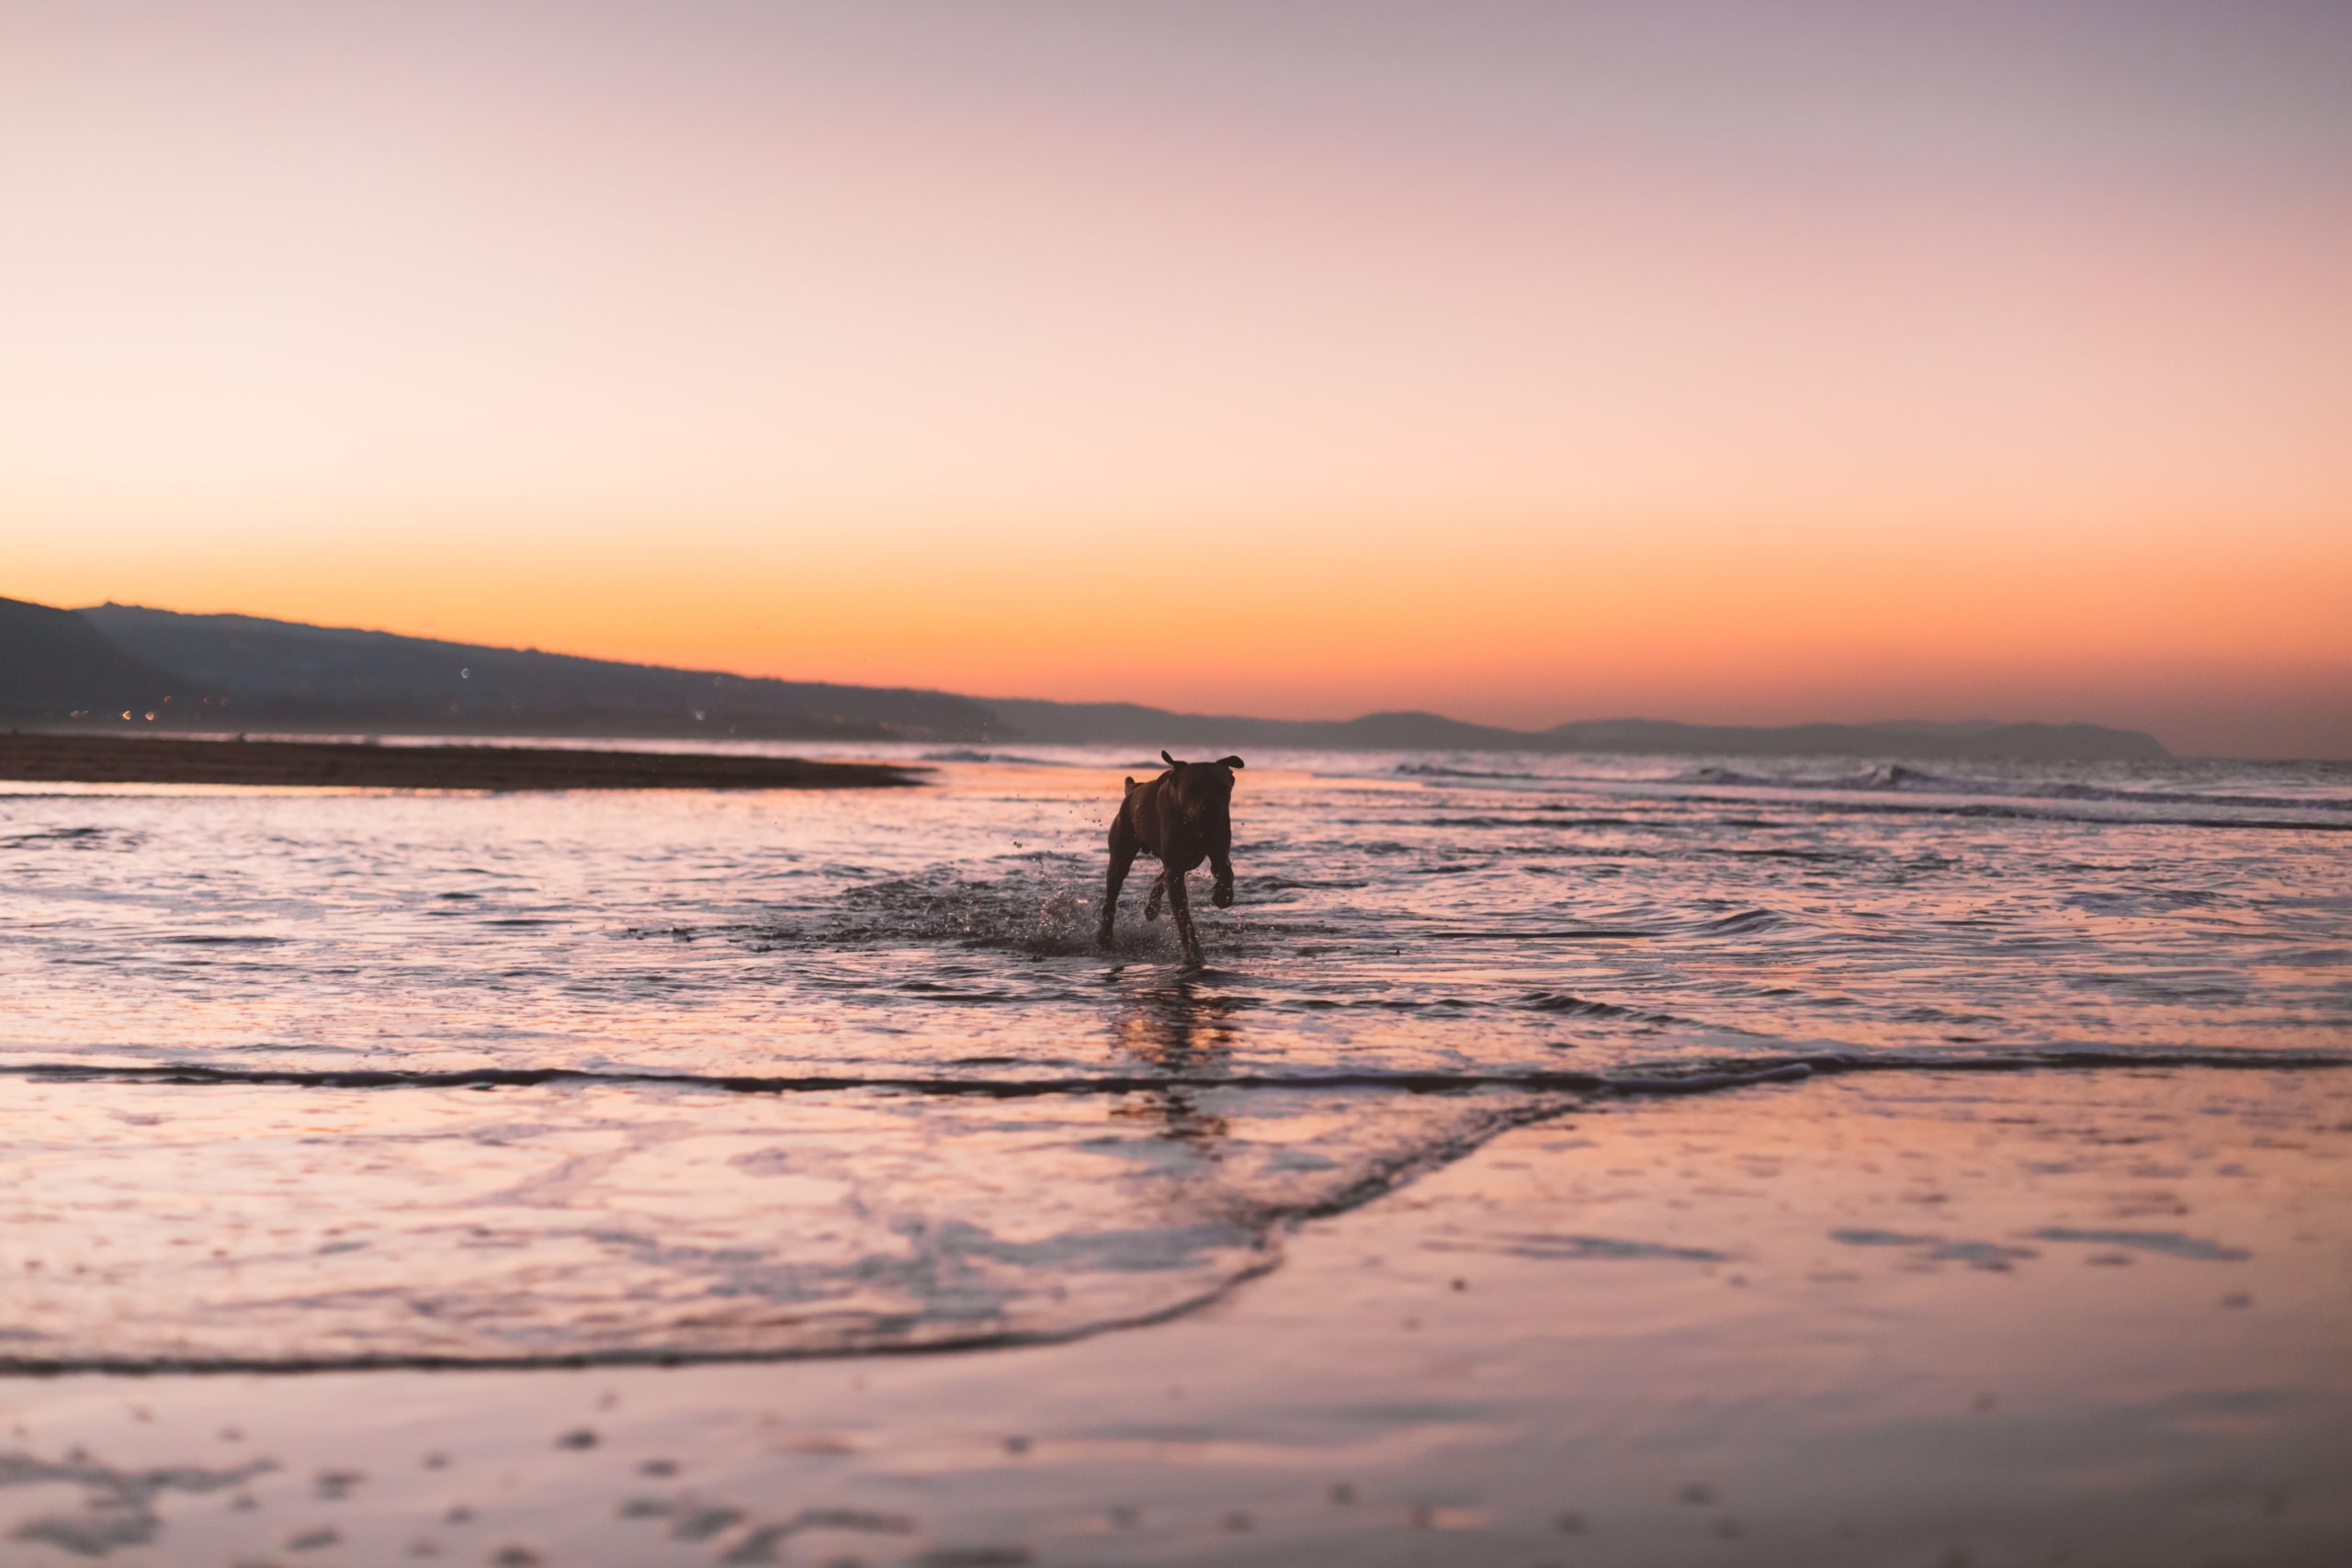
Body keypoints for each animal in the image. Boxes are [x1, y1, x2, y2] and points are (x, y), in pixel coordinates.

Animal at [1101, 751, 1250, 964]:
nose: (1211, 810)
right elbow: (1183, 917)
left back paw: (1152, 908)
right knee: (1112, 895)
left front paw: (1223, 894)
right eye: (1192, 787)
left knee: (1162, 877)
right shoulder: (1177, 866)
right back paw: (1105, 936)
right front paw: (1193, 953)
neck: (1195, 827)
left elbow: (1226, 870)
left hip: (1188, 858)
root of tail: (1133, 789)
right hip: (1121, 851)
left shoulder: (1218, 847)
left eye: (1221, 787)